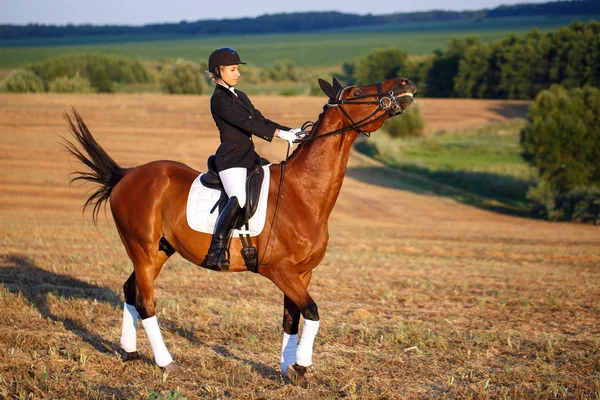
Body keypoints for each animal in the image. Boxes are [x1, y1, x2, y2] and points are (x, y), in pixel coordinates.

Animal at [63, 75, 414, 384]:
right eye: (356, 91)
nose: (406, 83)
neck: (303, 192)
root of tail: (126, 174)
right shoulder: (279, 269)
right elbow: (311, 312)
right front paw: (301, 367)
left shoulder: (303, 272)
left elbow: (292, 317)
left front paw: (287, 369)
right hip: (143, 251)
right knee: (146, 302)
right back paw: (167, 363)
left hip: (159, 251)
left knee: (130, 290)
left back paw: (131, 353)